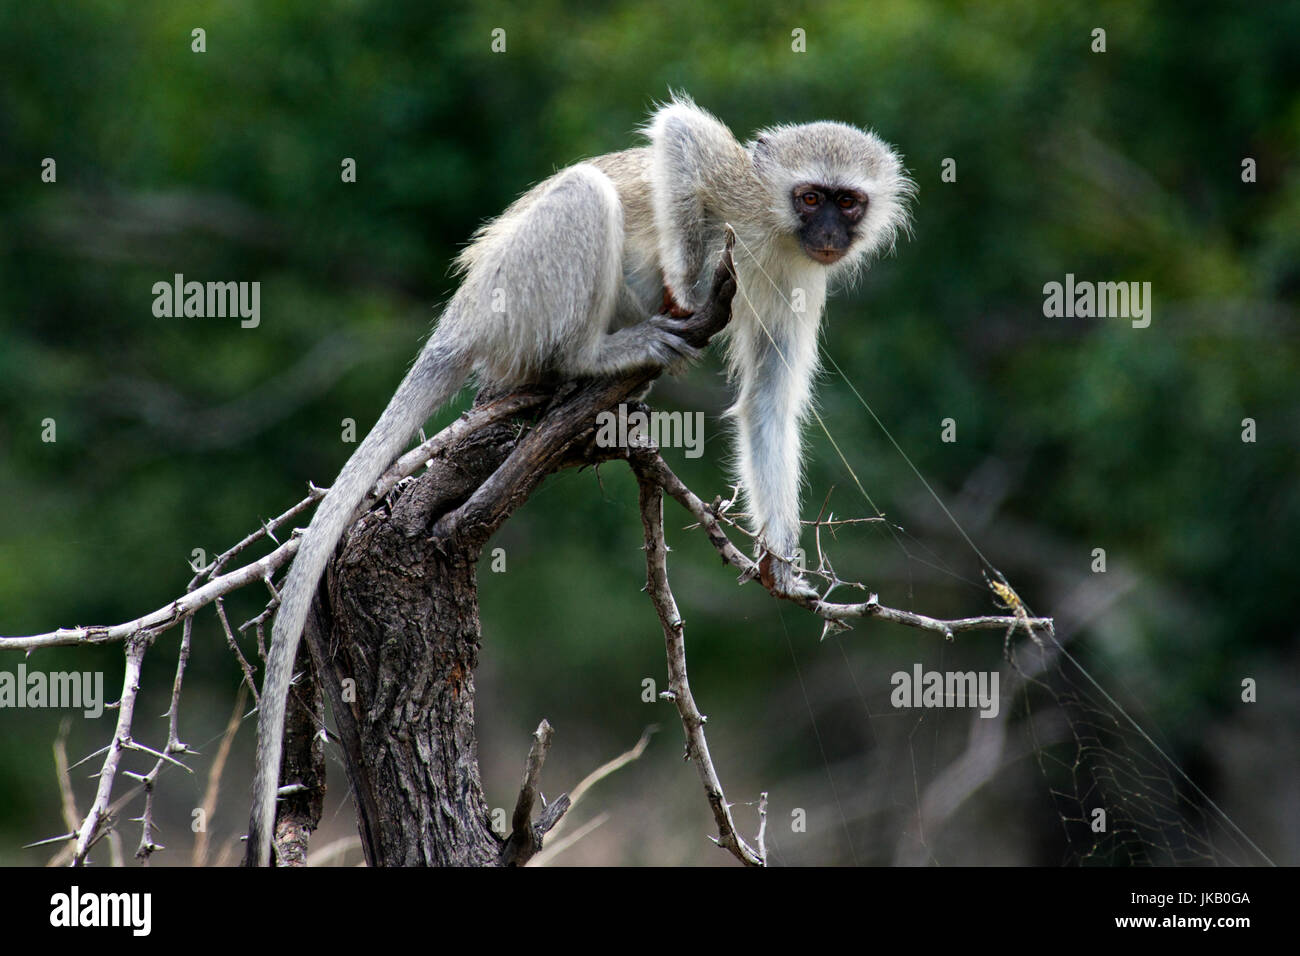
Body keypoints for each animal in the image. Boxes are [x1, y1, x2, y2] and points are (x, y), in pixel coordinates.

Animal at [246, 94, 911, 865]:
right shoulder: (739, 190)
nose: (829, 233)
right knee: (585, 199)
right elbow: (683, 139)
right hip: (515, 295)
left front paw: (780, 556)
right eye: (809, 197)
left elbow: (769, 401)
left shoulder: (802, 280)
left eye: (847, 201)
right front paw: (688, 286)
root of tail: (460, 318)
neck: (778, 234)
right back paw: (591, 356)